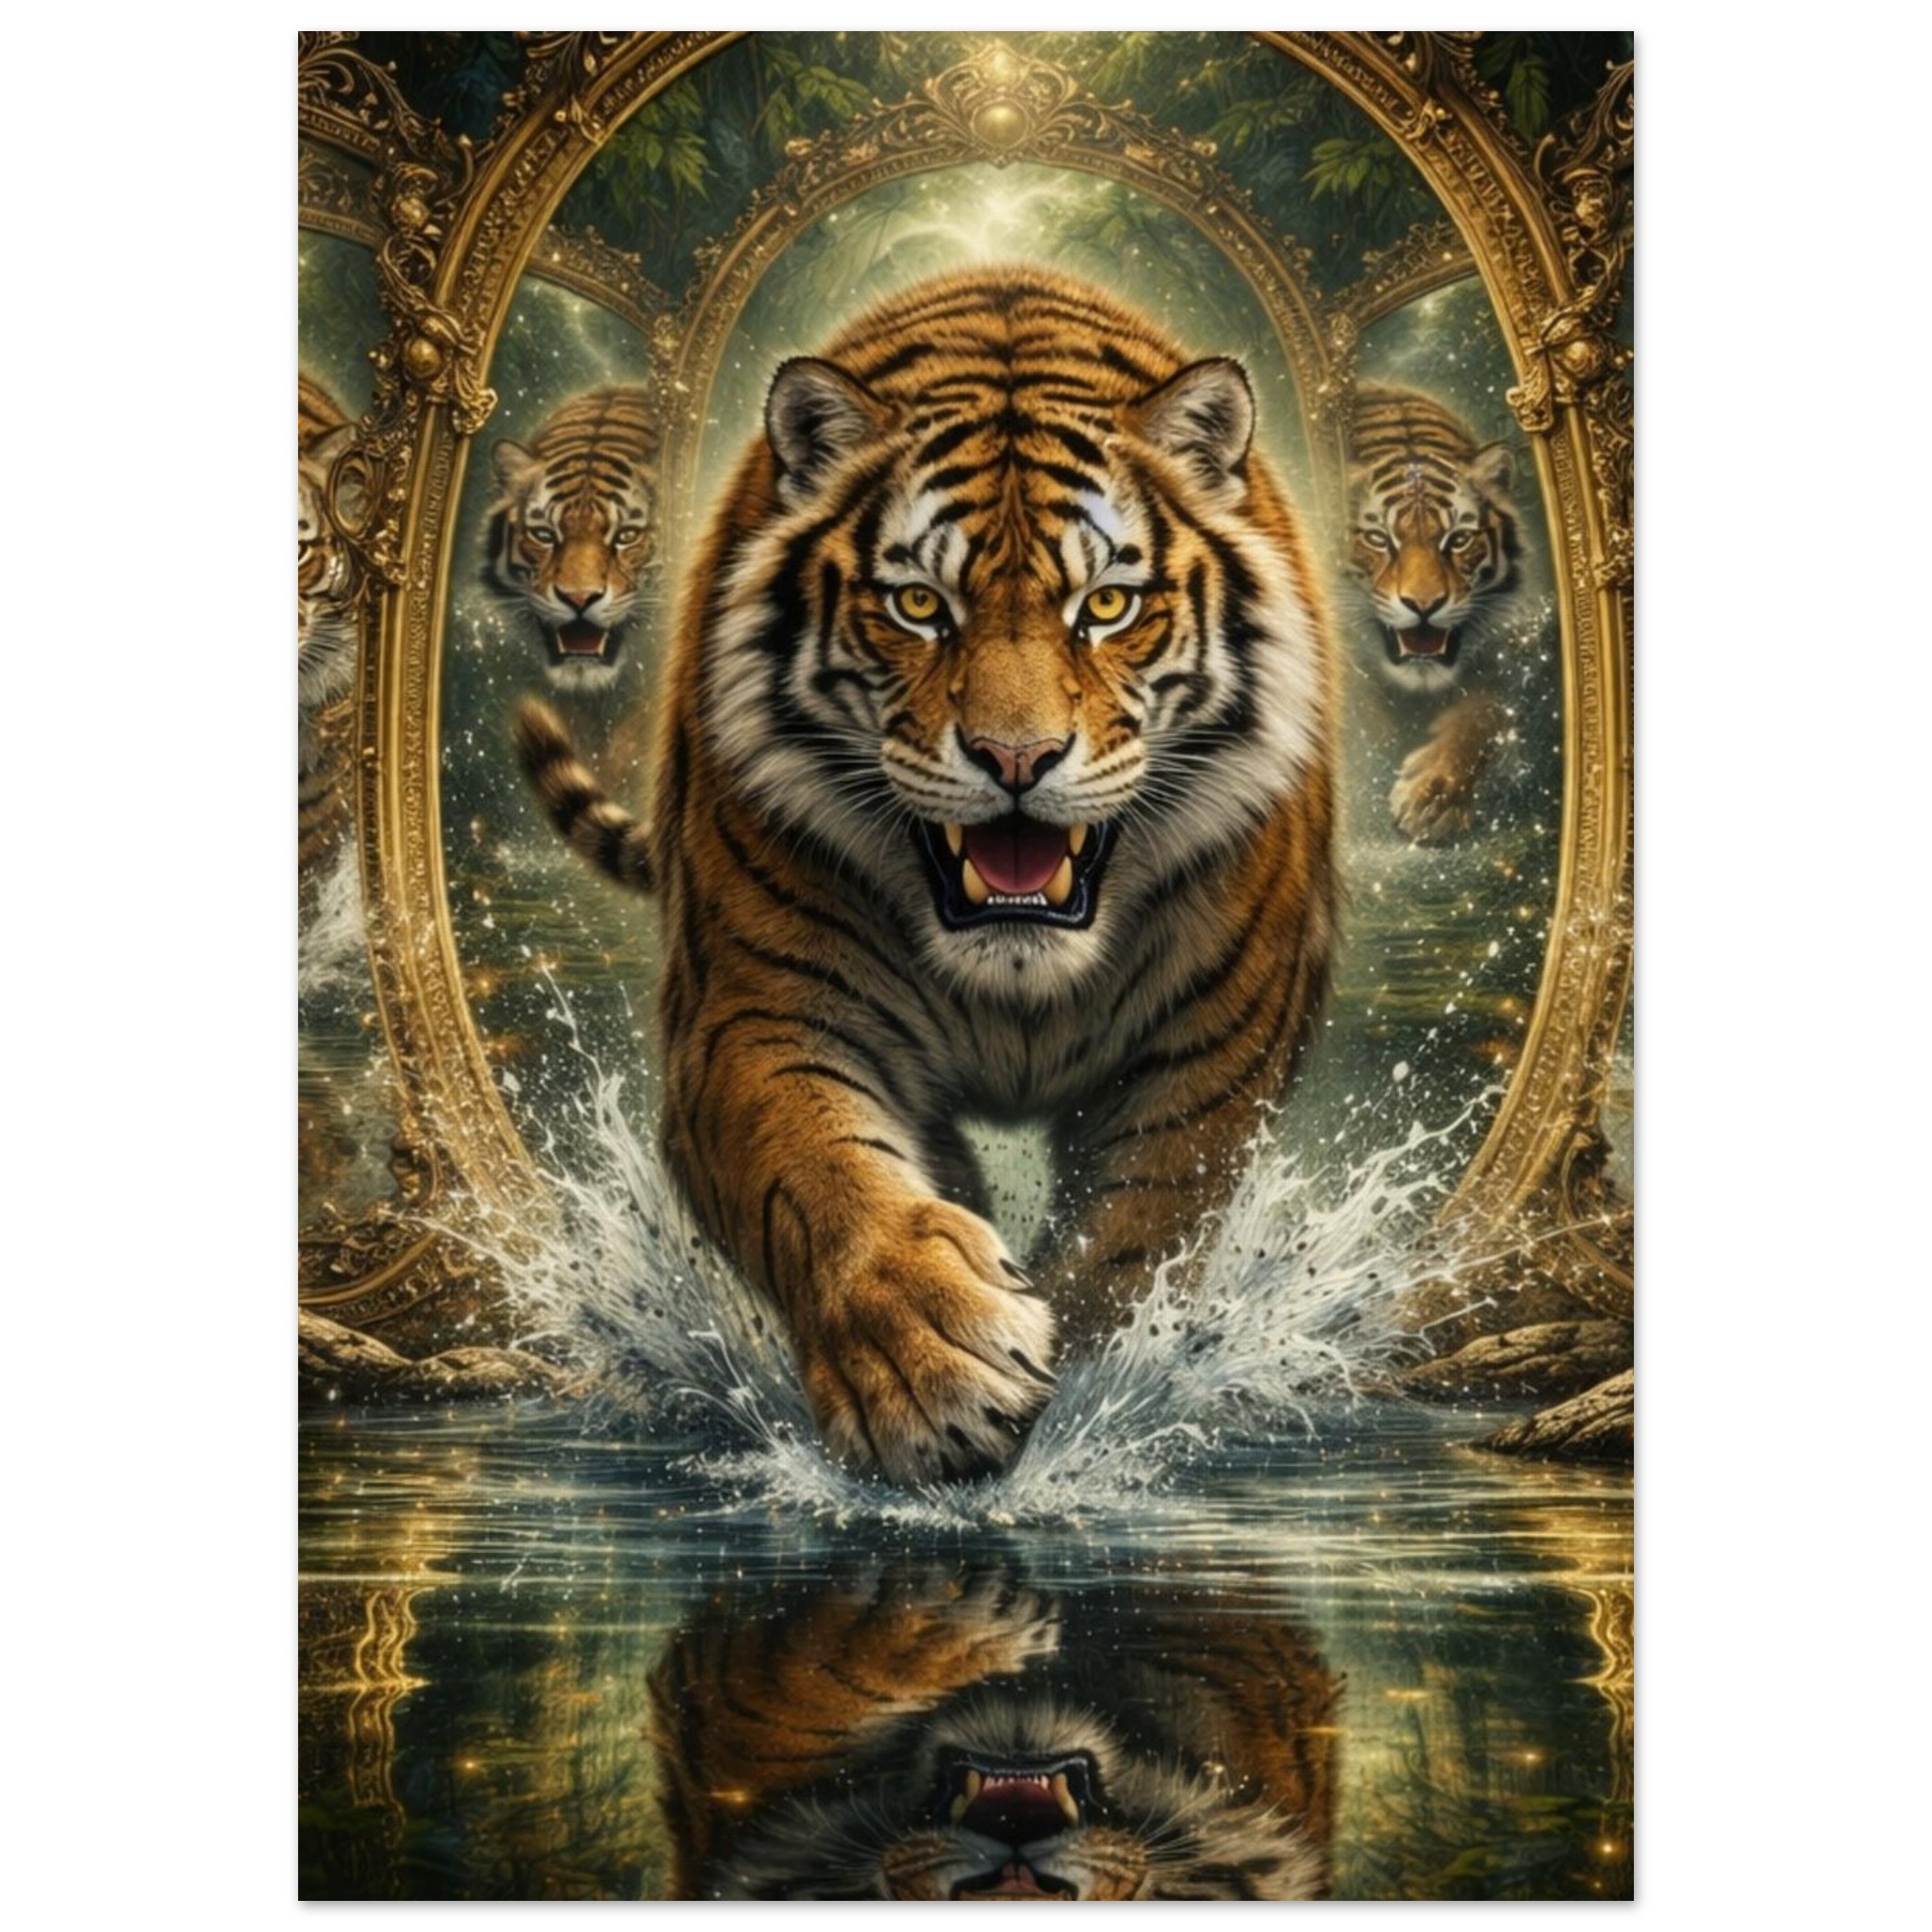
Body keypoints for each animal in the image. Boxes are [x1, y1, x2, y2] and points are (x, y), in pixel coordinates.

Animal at [516, 268, 1336, 1485]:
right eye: (918, 606)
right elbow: (819, 1170)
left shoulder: (1212, 1055)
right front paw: (929, 1362)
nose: (1014, 758)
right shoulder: (751, 1016)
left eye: (1104, 607)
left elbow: (1134, 1232)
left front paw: (1088, 1396)